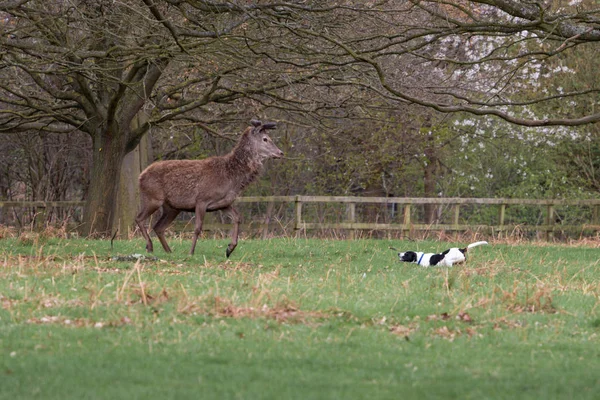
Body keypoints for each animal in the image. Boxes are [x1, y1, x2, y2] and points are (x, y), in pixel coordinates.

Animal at [136, 119, 284, 256]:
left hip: (172, 207)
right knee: (139, 218)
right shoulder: (202, 199)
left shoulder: (223, 203)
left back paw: (168, 251)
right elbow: (198, 228)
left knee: (158, 227)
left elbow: (237, 217)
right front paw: (191, 252)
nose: (281, 152)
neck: (231, 179)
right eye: (265, 139)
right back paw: (150, 246)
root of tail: (140, 176)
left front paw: (230, 248)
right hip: (153, 198)